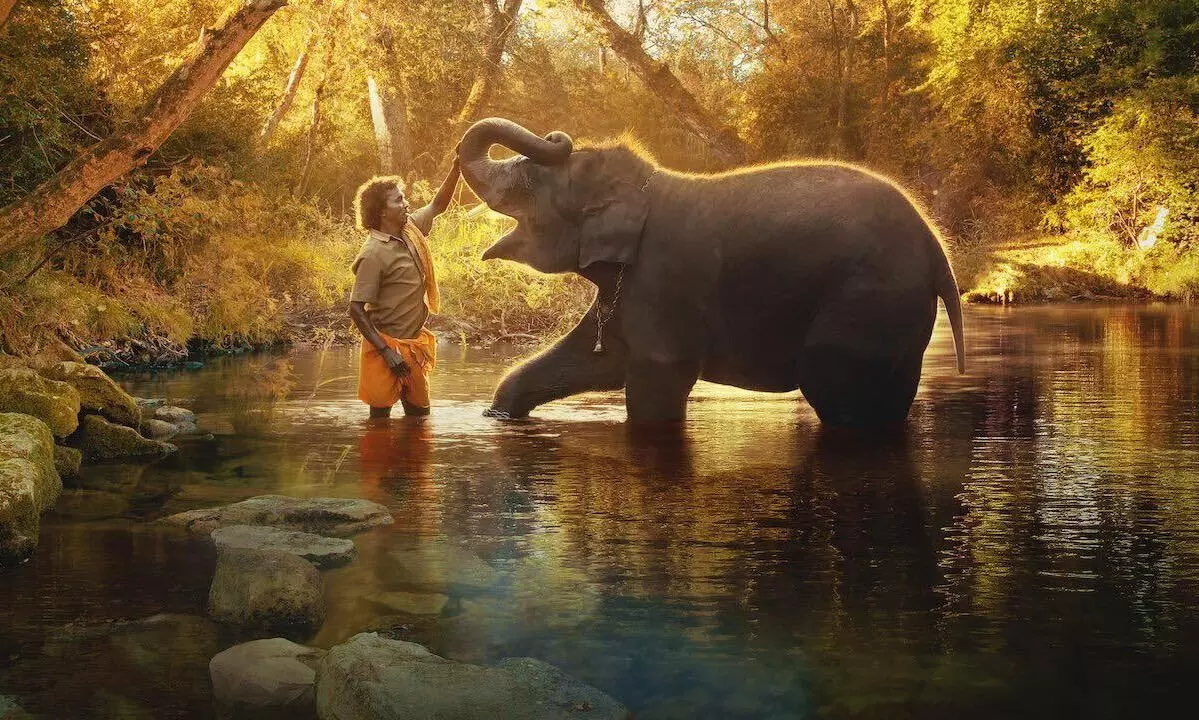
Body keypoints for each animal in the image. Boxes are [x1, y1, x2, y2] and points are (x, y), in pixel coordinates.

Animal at [456, 118, 965, 425]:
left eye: (529, 182)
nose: (557, 136)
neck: (644, 186)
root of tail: (937, 249)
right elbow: (597, 359)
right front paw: (500, 415)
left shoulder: (662, 280)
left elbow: (656, 381)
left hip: (867, 300)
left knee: (835, 389)